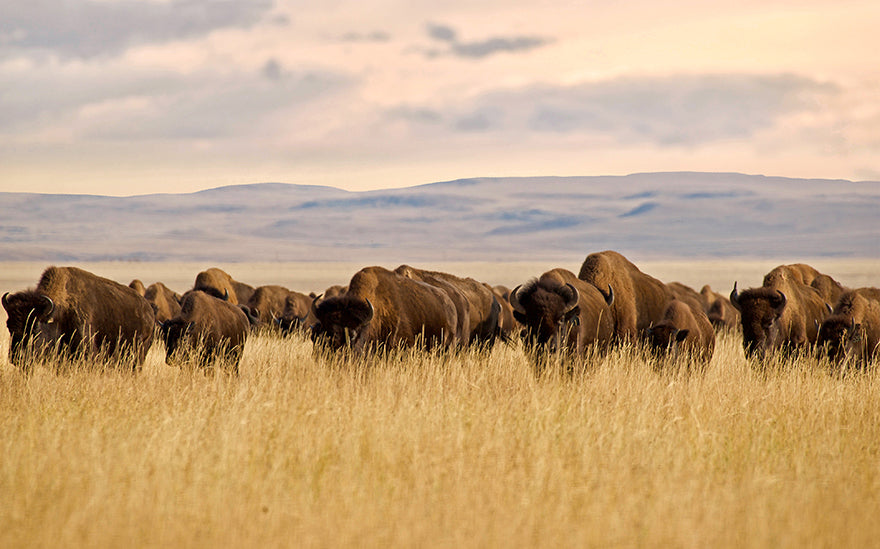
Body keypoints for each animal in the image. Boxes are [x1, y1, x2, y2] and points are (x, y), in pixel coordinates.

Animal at [1, 266, 155, 372]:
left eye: (36, 327)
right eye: (9, 326)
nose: (18, 357)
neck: (59, 313)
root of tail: (149, 313)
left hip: (137, 358)